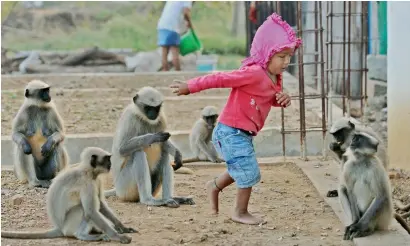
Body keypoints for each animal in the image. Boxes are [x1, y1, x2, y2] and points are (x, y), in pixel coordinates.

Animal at [0, 147, 137, 243]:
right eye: (107, 159)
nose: (110, 164)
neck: (88, 172)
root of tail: (59, 227)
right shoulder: (87, 183)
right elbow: (91, 211)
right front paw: (118, 237)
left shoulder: (96, 180)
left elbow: (101, 205)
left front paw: (122, 227)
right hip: (69, 225)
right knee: (82, 209)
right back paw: (83, 235)